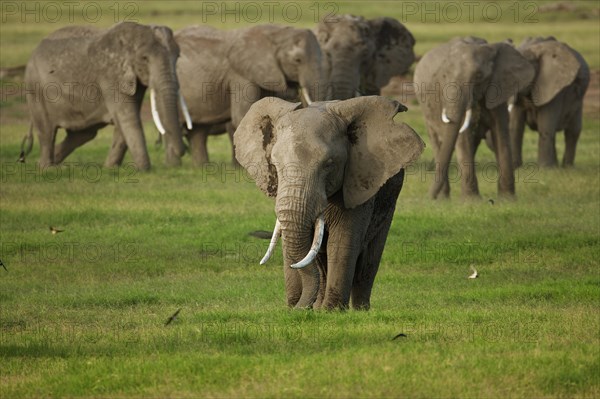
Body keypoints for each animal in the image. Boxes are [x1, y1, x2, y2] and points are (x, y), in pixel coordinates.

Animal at [23, 21, 189, 171]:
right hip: (36, 90)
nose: (183, 150)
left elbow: (127, 118)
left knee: (83, 134)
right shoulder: (111, 76)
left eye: (178, 56)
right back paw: (46, 168)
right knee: (47, 132)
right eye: (144, 58)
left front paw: (110, 169)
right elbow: (128, 118)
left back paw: (44, 164)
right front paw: (144, 170)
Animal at [171, 24, 326, 166]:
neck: (277, 33)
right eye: (297, 60)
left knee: (198, 131)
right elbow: (243, 115)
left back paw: (200, 167)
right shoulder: (241, 75)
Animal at [232, 95, 424, 310]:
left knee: (369, 259)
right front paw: (300, 309)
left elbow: (341, 242)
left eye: (329, 164)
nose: (299, 307)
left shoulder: (358, 184)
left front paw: (331, 311)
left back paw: (360, 310)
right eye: (274, 165)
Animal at [412, 36, 536, 199]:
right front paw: (472, 201)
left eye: (478, 76)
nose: (427, 198)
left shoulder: (497, 89)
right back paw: (442, 199)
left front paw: (507, 199)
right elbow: (463, 137)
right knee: (438, 143)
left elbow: (501, 134)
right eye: (444, 76)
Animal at [506, 36, 592, 168]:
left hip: (579, 98)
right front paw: (516, 167)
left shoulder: (556, 89)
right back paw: (555, 167)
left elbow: (545, 125)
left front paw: (544, 168)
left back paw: (567, 167)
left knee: (573, 131)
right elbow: (515, 127)